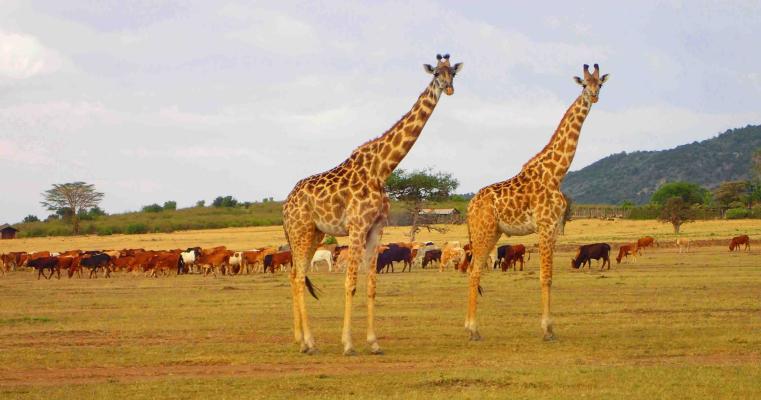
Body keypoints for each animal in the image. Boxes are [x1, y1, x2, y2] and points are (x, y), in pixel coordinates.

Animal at [282, 54, 463, 355]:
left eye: (454, 73)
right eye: (436, 73)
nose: (448, 89)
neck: (382, 168)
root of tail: (285, 204)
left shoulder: (376, 228)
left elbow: (371, 283)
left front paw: (374, 342)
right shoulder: (357, 227)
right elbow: (350, 282)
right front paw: (348, 344)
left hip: (315, 233)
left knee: (296, 273)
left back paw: (300, 339)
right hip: (300, 231)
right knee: (297, 277)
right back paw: (308, 343)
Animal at [464, 64, 609, 341]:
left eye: (600, 84)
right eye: (584, 85)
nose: (594, 96)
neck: (556, 172)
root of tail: (469, 207)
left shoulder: (553, 228)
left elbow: (550, 276)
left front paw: (550, 327)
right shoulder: (544, 225)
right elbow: (545, 276)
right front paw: (547, 330)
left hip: (493, 233)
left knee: (472, 270)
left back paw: (469, 327)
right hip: (483, 231)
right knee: (474, 271)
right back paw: (474, 330)